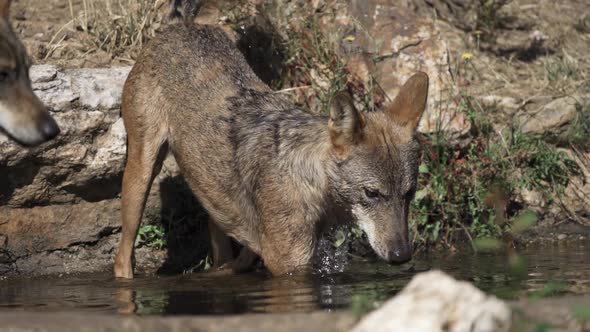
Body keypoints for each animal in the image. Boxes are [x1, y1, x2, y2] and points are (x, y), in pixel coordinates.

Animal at [115, 22, 430, 278]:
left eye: (409, 193)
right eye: (372, 193)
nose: (402, 255)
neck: (312, 186)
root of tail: (181, 25)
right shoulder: (289, 266)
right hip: (141, 176)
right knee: (121, 258)